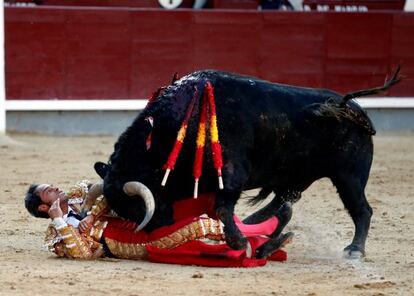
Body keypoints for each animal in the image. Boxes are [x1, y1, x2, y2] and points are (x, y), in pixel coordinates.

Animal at [99, 67, 402, 260]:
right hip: (296, 175)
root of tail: (352, 109)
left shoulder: (231, 175)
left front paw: (241, 243)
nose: (156, 230)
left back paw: (354, 250)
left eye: (137, 207)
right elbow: (221, 209)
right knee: (284, 204)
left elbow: (222, 208)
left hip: (349, 177)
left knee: (361, 210)